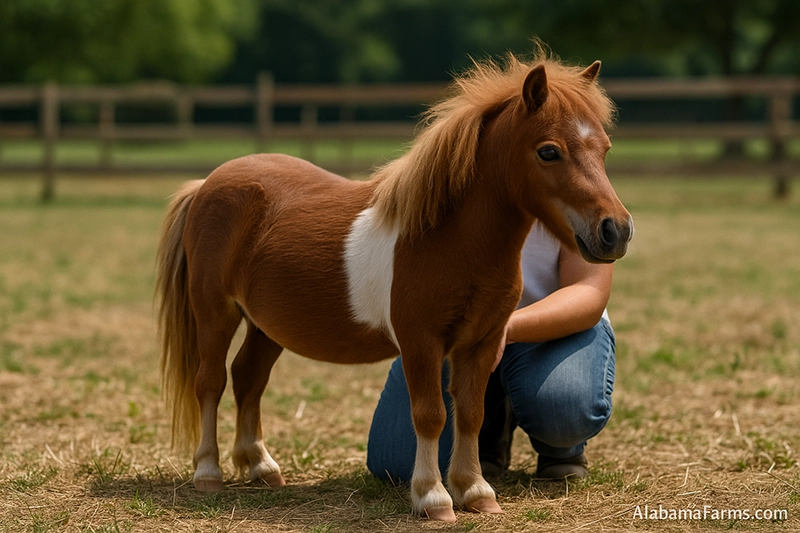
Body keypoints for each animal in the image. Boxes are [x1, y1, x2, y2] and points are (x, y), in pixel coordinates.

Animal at [155, 52, 633, 522]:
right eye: (549, 152)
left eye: (605, 148)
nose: (616, 231)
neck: (448, 238)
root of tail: (207, 184)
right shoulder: (420, 342)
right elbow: (431, 415)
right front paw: (433, 497)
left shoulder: (482, 341)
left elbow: (471, 414)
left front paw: (475, 491)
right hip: (216, 311)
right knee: (211, 382)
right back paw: (208, 472)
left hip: (266, 325)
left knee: (248, 379)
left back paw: (260, 466)